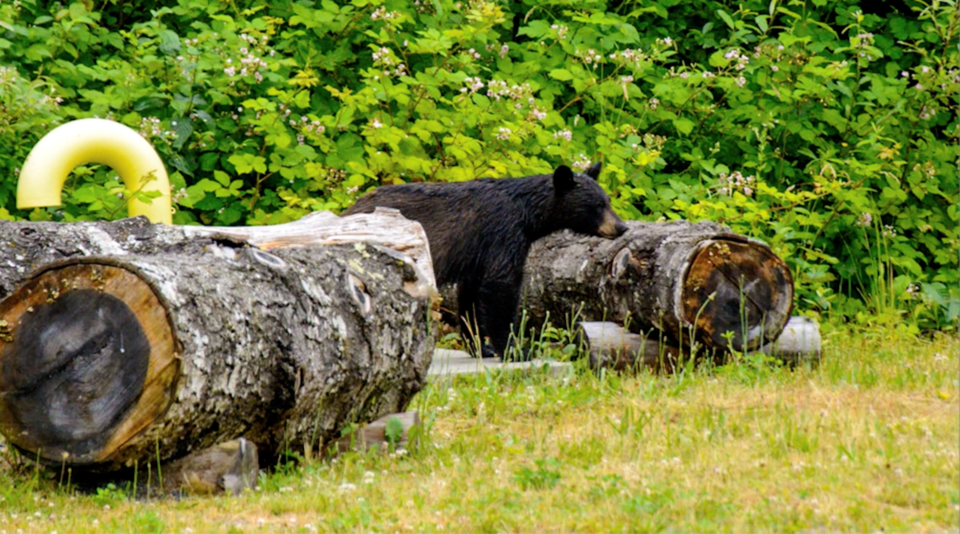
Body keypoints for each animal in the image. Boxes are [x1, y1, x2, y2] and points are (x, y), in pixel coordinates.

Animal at [342, 163, 628, 360]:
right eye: (597, 205)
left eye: (608, 201)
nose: (622, 227)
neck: (528, 215)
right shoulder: (502, 233)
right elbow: (501, 286)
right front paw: (514, 349)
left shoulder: (476, 255)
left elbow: (470, 296)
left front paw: (481, 347)